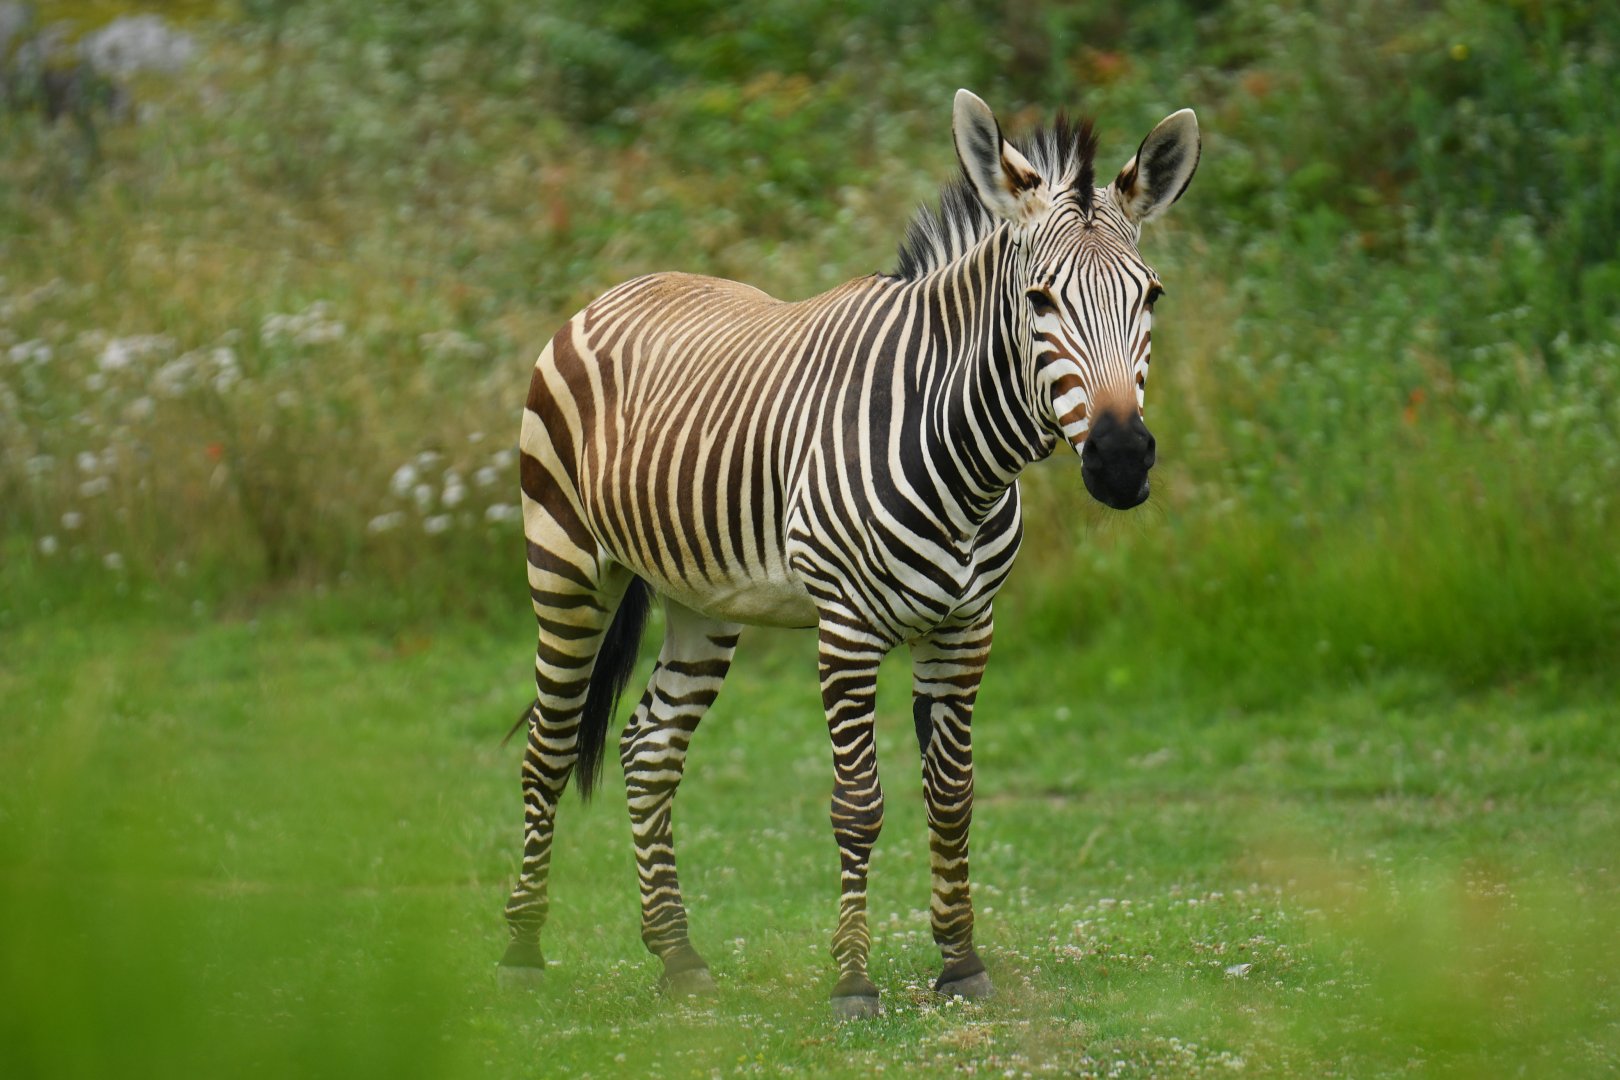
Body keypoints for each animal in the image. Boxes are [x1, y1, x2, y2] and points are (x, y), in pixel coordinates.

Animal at [498, 89, 1200, 1018]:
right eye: (1040, 299)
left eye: (1150, 295)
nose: (1121, 459)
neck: (963, 458)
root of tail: (626, 283)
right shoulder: (848, 629)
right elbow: (858, 805)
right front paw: (854, 982)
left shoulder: (965, 629)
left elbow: (953, 797)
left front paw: (960, 962)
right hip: (567, 562)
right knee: (548, 745)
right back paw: (520, 948)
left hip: (702, 599)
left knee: (649, 748)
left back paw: (678, 955)